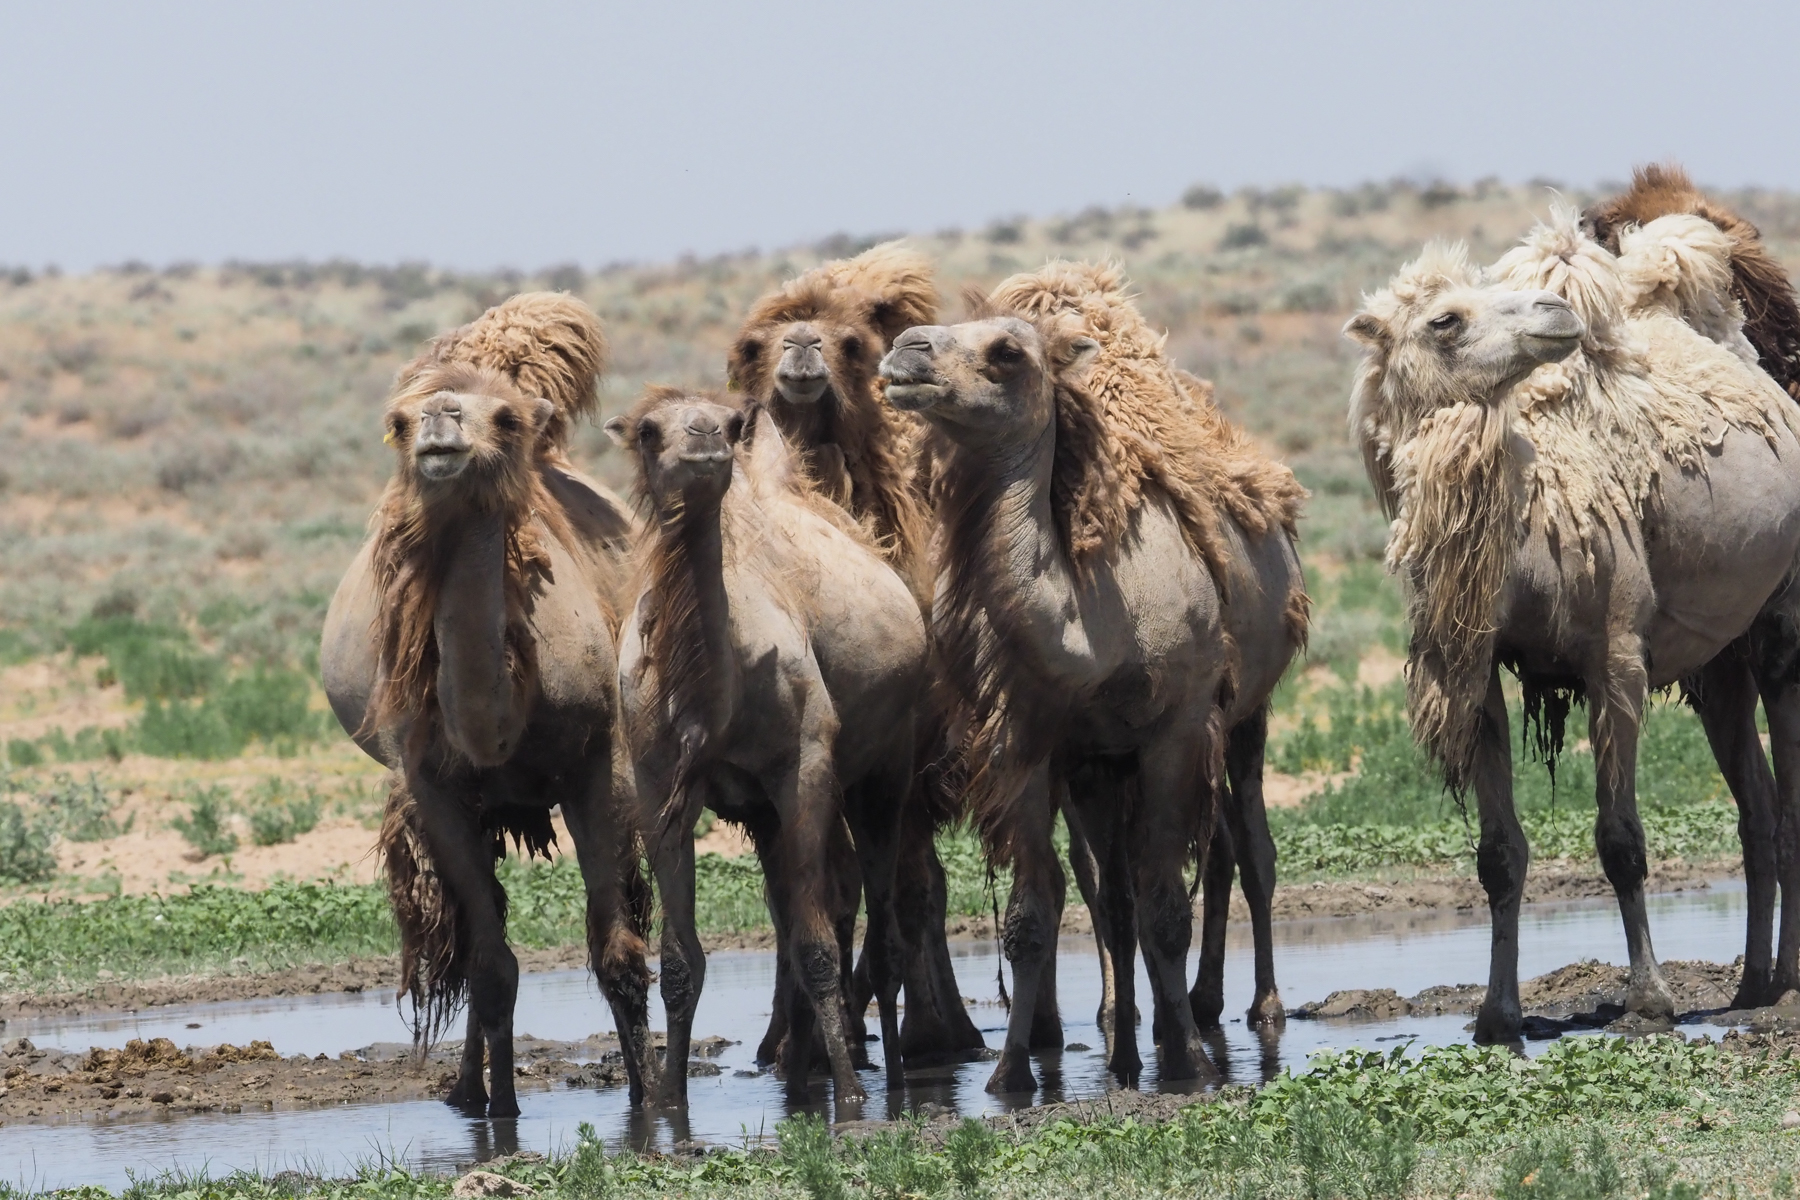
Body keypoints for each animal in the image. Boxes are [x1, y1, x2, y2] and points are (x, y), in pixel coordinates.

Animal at [319, 294, 654, 1116]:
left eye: (504, 419)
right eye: (397, 421)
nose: (440, 419)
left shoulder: (596, 766)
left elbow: (618, 952)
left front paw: (653, 1103)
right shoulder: (434, 785)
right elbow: (492, 964)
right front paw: (498, 1109)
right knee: (482, 936)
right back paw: (470, 1089)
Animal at [607, 387, 926, 1106]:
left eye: (728, 424)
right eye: (647, 431)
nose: (705, 439)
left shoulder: (803, 765)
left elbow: (819, 946)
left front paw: (853, 1101)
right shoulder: (658, 784)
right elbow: (680, 959)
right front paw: (669, 1102)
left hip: (887, 766)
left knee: (881, 933)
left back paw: (889, 1080)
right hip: (763, 815)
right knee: (795, 921)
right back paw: (797, 1074)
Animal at [729, 243, 986, 1064]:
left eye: (851, 344)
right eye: (751, 347)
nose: (801, 347)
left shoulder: (907, 745)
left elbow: (892, 885)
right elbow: (808, 895)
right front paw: (792, 1041)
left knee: (916, 880)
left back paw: (944, 1029)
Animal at [880, 262, 1306, 1092]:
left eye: (1007, 352)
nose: (906, 351)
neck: (1091, 618)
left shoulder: (1178, 728)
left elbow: (1165, 905)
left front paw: (1188, 1063)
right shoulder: (1031, 742)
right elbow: (1036, 915)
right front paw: (1010, 1074)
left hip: (1247, 713)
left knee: (1247, 851)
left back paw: (1253, 1010)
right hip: (1101, 767)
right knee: (1116, 891)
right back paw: (1134, 1036)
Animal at [1346, 210, 1800, 1040]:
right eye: (1444, 319)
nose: (1556, 314)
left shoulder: (1613, 653)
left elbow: (1620, 839)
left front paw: (1649, 1000)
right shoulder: (1476, 665)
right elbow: (1498, 854)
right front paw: (1497, 1015)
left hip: (1782, 616)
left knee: (1786, 794)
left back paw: (1784, 984)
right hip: (1717, 661)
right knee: (1753, 801)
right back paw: (1753, 982)